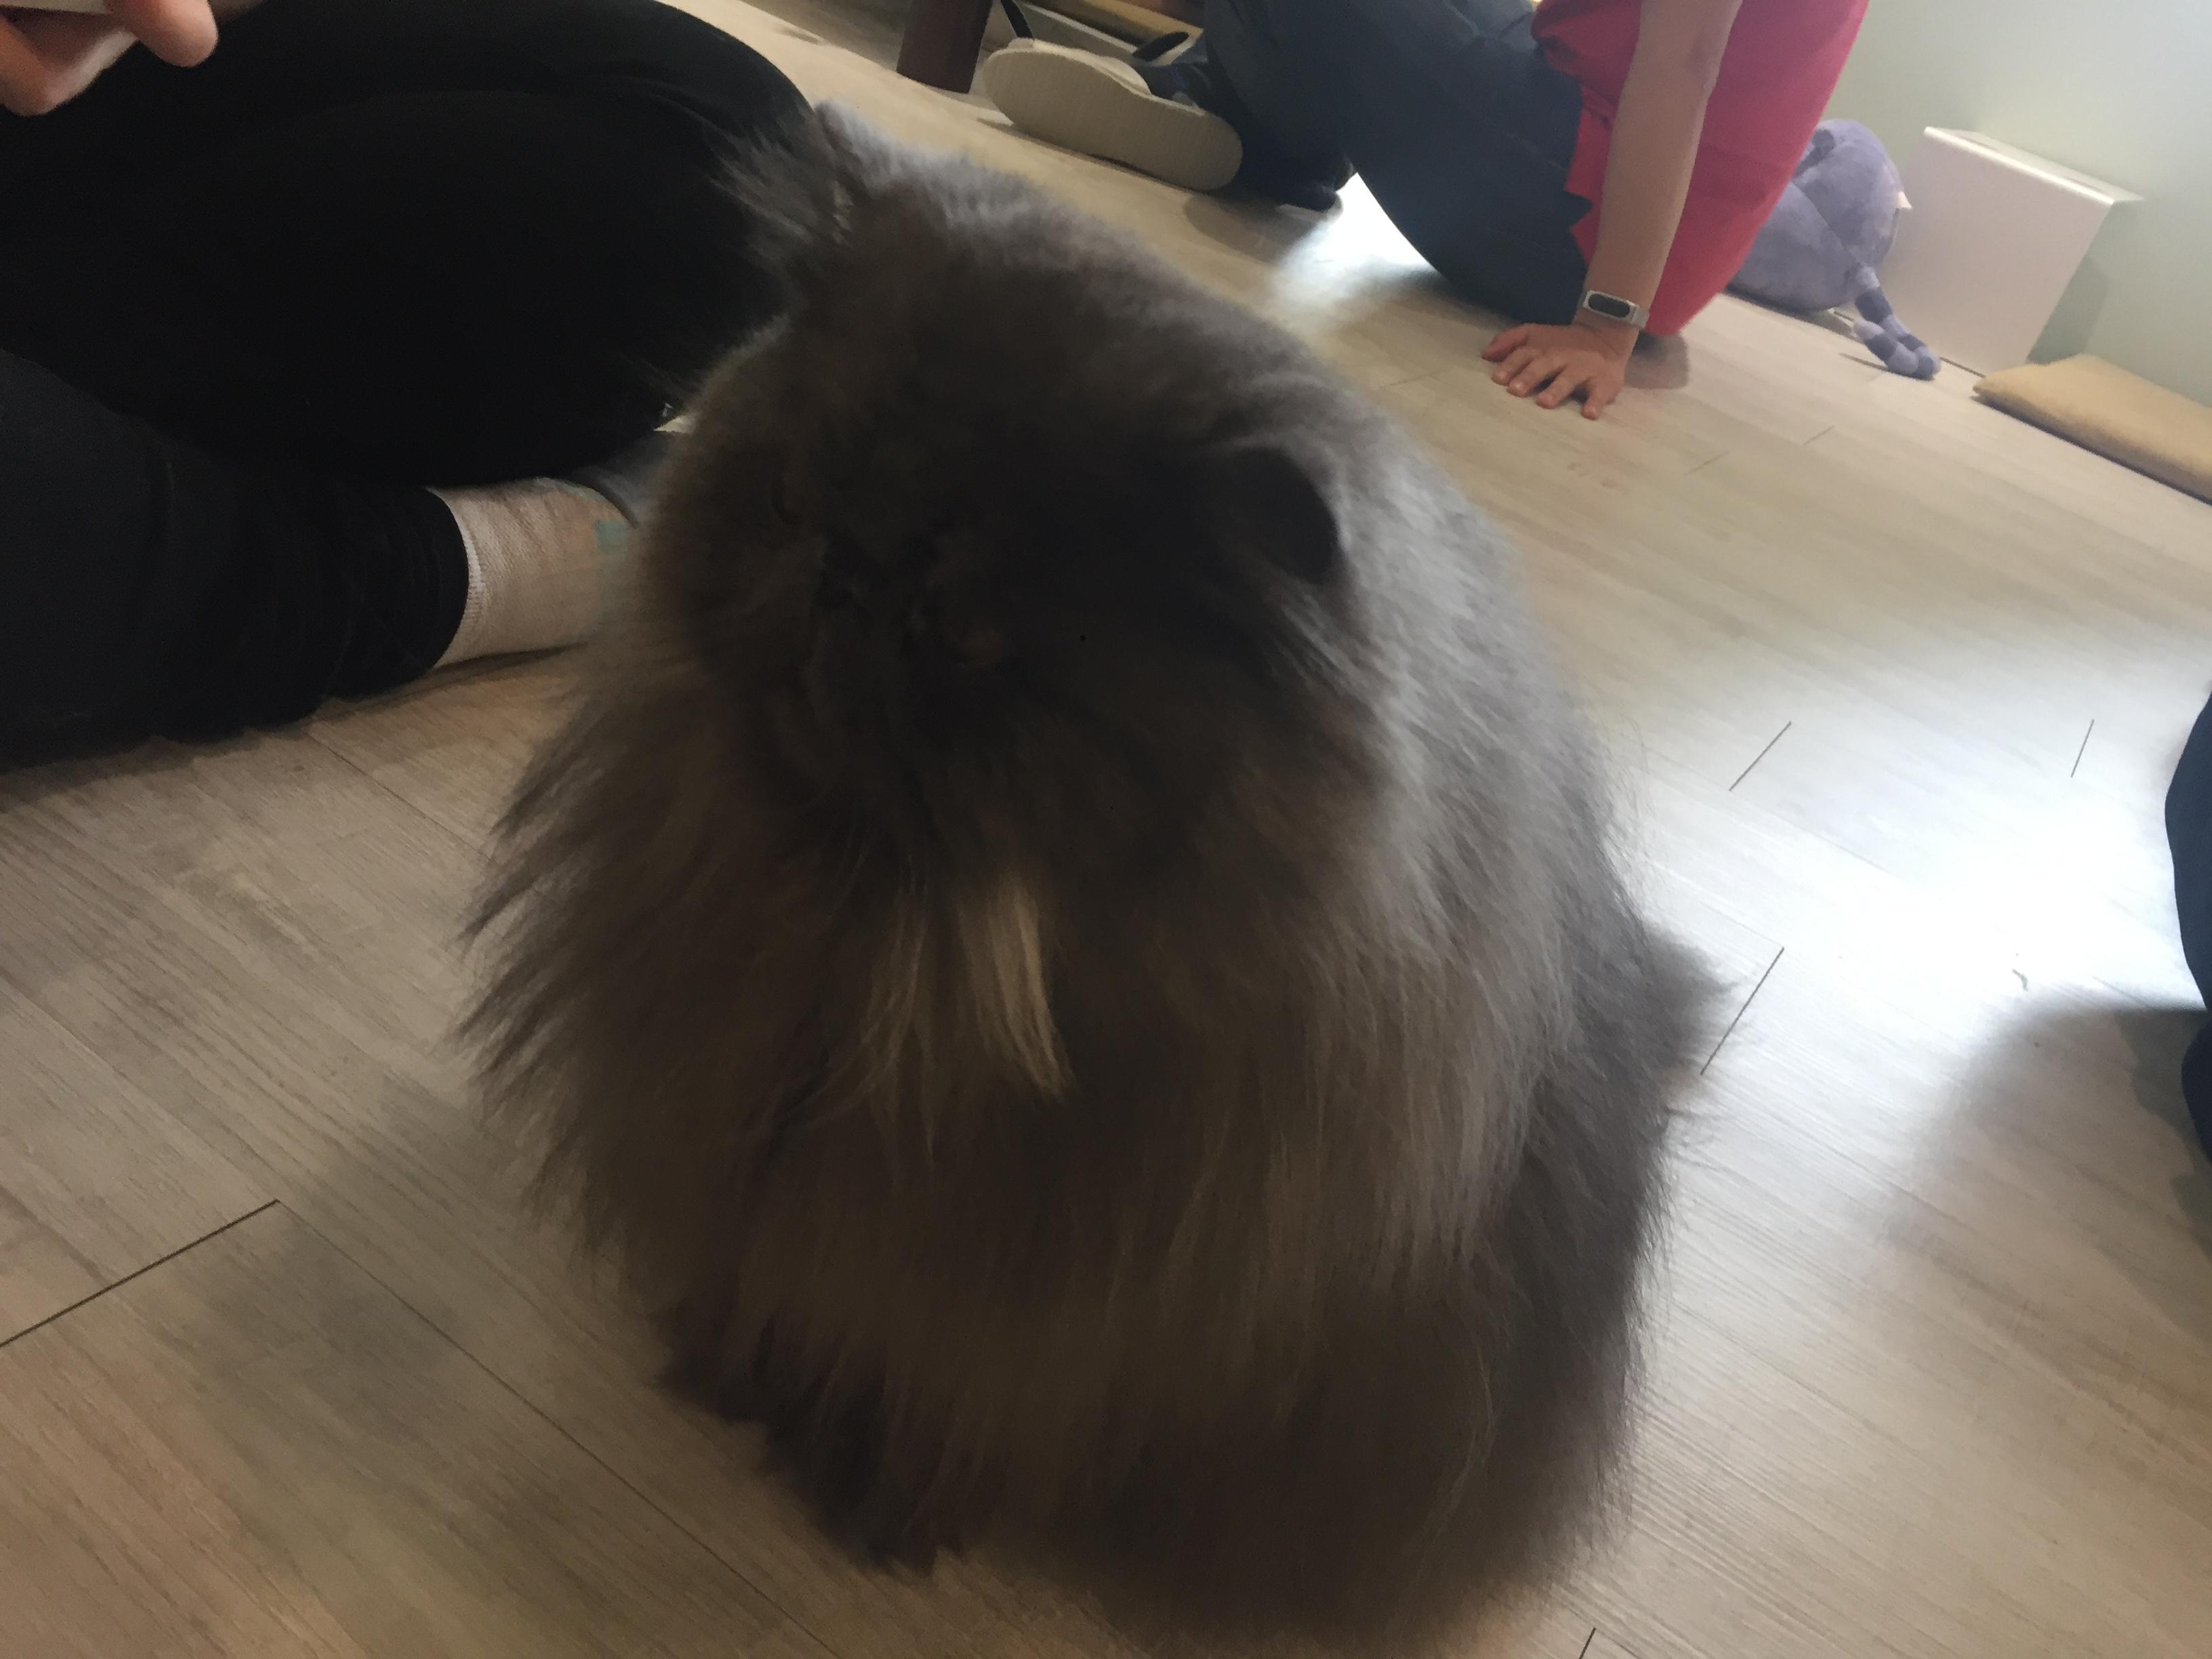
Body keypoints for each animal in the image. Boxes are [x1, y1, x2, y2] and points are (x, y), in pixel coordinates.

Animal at [469, 106, 1710, 1643]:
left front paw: (878, 1487)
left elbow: (952, 1384)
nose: (841, 580)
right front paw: (729, 1366)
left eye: (967, 626)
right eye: (792, 496)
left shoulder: (1054, 1307)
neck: (897, 941)